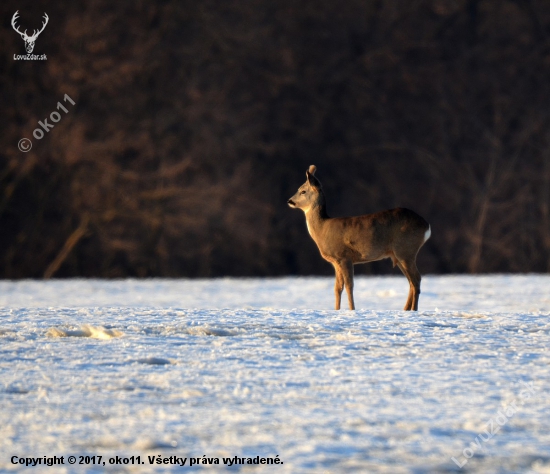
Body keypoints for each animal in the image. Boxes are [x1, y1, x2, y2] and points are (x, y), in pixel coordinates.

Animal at [288, 167, 432, 312]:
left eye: (303, 191)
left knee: (416, 279)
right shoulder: (336, 262)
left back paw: (414, 310)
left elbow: (349, 286)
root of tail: (427, 226)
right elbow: (337, 288)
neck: (322, 228)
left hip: (406, 250)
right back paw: (406, 309)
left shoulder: (344, 256)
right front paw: (336, 310)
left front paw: (352, 309)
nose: (290, 201)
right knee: (411, 281)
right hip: (398, 254)